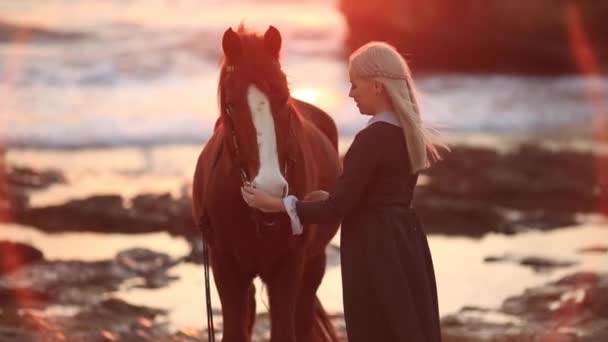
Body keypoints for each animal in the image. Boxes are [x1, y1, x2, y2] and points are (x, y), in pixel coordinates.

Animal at [191, 24, 342, 342]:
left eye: (284, 97)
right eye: (230, 104)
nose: (269, 188)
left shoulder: (290, 267)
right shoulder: (226, 267)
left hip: (314, 265)